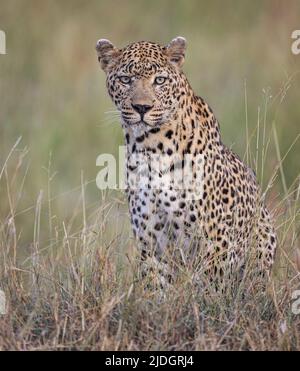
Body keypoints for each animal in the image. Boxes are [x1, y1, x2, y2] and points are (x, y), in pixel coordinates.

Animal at [96, 36, 276, 290]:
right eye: (125, 79)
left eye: (159, 80)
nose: (142, 108)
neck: (151, 146)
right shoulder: (151, 237)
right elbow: (155, 284)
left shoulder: (216, 238)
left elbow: (210, 287)